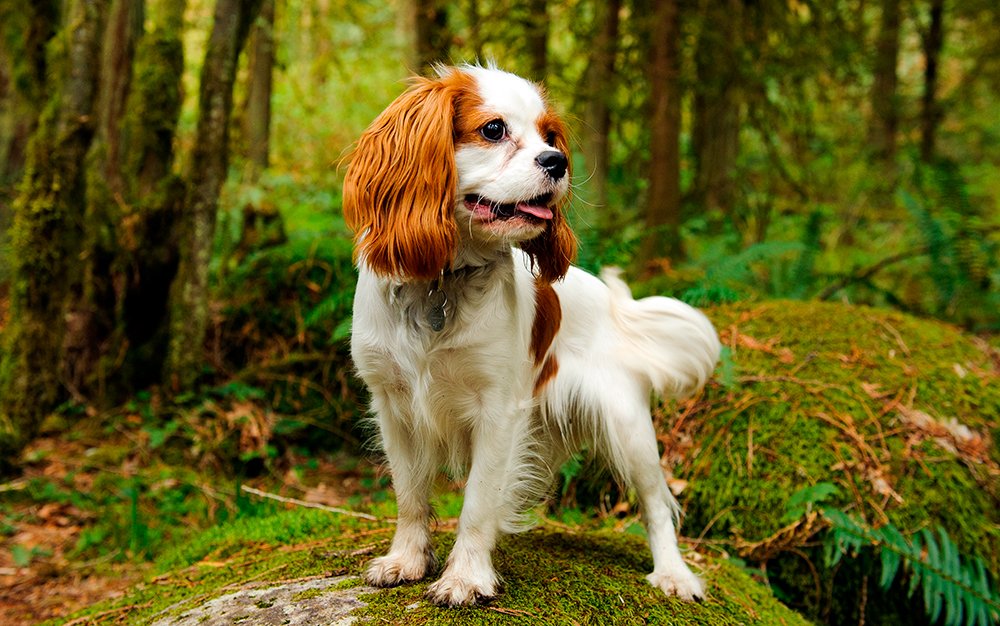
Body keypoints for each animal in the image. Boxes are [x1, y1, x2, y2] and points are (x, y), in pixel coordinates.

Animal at [344, 64, 720, 604]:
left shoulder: (497, 410)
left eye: (550, 136)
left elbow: (478, 501)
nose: (557, 161)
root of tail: (613, 305)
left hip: (628, 428)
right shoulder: (394, 406)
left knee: (655, 503)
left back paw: (674, 574)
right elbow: (411, 495)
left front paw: (465, 576)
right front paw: (407, 560)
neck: (443, 281)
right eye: (493, 129)